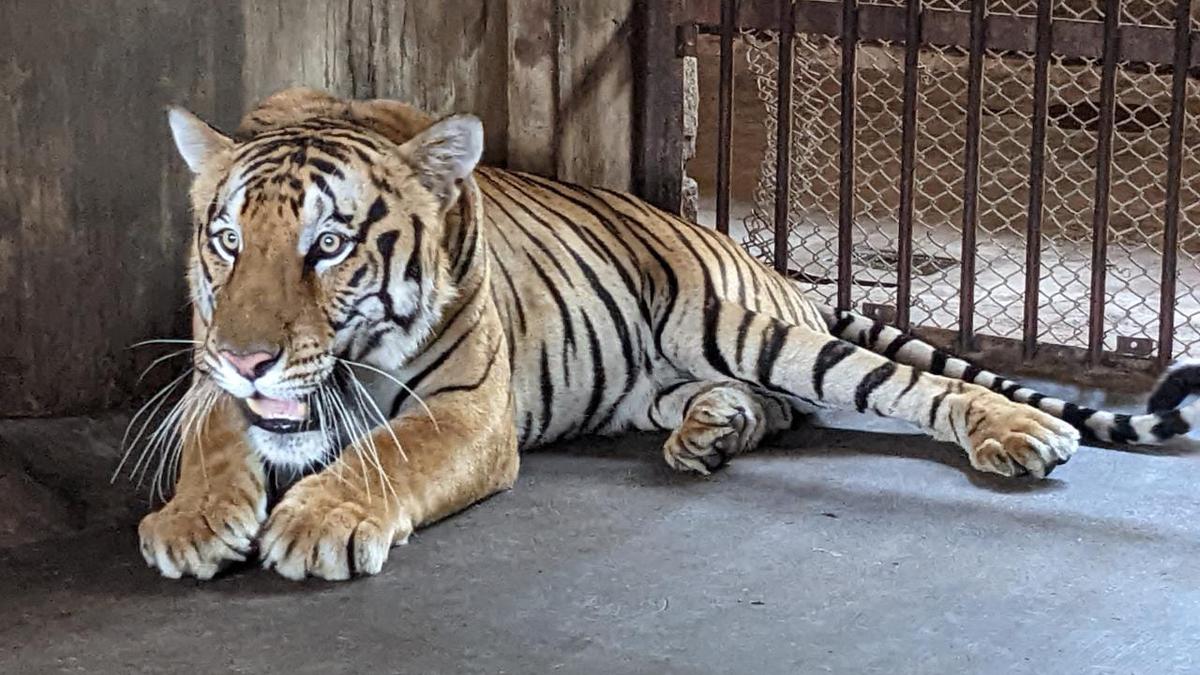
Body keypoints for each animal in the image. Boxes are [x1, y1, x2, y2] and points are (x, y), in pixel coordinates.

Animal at [138, 85, 1200, 578]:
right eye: (227, 240)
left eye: (328, 244)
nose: (249, 356)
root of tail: (774, 271)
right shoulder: (208, 381)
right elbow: (217, 441)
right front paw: (194, 520)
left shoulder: (467, 411)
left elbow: (383, 456)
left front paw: (318, 520)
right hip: (659, 377)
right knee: (773, 412)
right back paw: (709, 435)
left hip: (737, 325)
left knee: (893, 386)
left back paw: (1020, 432)